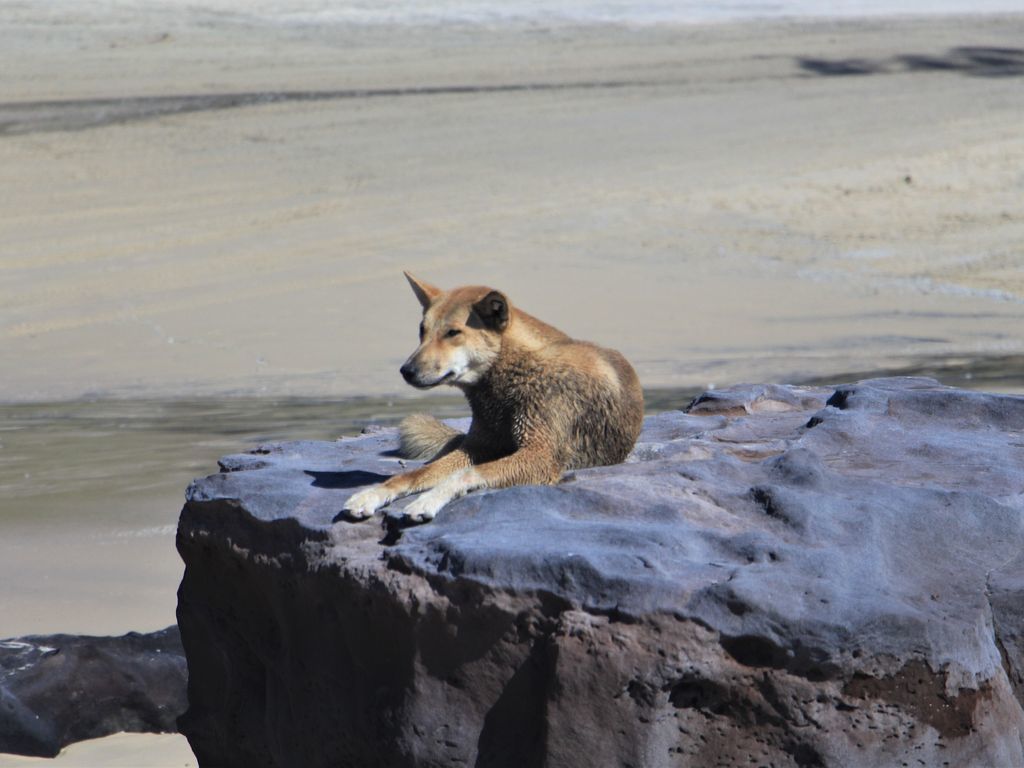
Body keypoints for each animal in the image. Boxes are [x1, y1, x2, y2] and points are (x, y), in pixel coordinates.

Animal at [346, 274, 647, 524]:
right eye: (422, 330)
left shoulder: (540, 456)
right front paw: (371, 493)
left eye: (452, 332)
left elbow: (466, 474)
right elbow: (413, 474)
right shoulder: (477, 446)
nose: (406, 371)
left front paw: (428, 499)